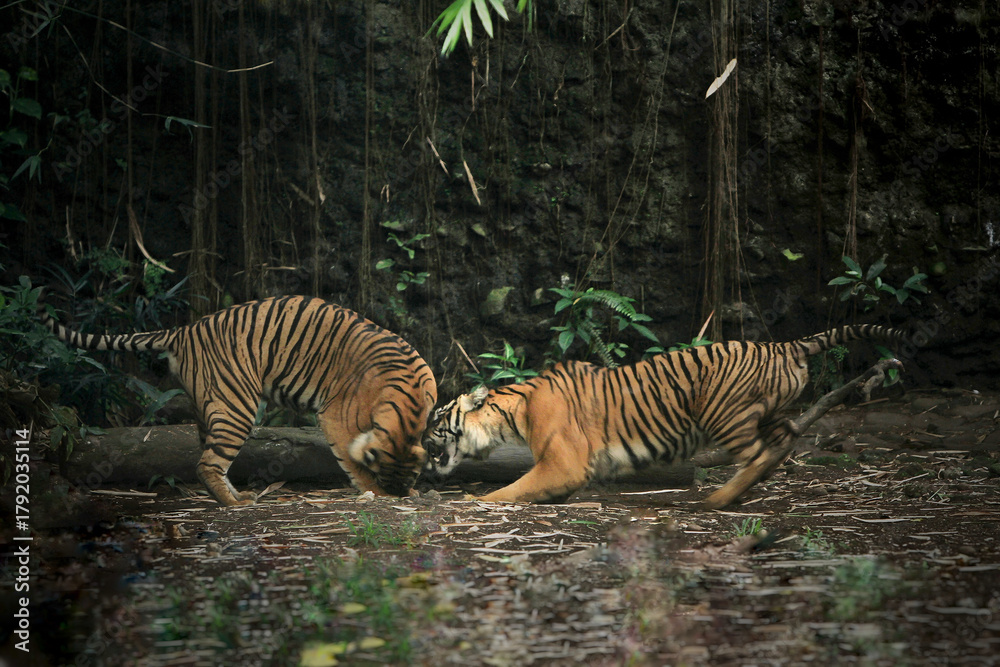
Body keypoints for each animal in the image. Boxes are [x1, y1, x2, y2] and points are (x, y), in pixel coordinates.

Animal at [40, 295, 438, 506]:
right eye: (388, 478)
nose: (400, 491)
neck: (411, 410)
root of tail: (183, 330)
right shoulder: (336, 418)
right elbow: (353, 461)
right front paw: (376, 492)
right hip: (238, 406)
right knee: (207, 464)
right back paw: (235, 503)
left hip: (210, 406)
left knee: (209, 457)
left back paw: (234, 495)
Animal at [423, 325, 906, 508]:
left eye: (435, 424)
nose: (420, 444)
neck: (513, 411)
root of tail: (783, 345)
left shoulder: (563, 460)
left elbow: (516, 486)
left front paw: (480, 500)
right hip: (767, 411)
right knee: (784, 437)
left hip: (723, 413)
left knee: (757, 455)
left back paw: (718, 499)